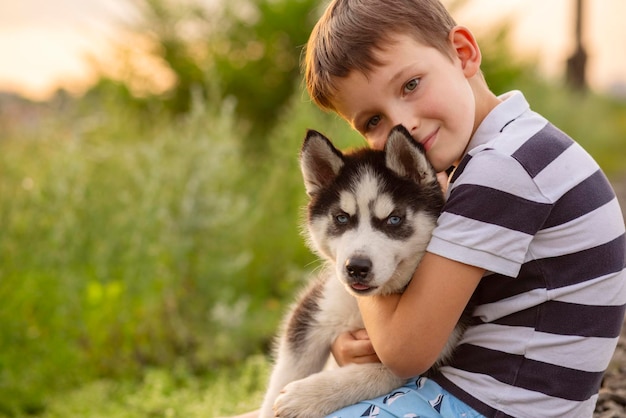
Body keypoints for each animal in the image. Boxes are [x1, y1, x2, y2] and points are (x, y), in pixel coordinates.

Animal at [258, 125, 464, 416]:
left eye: (394, 219)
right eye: (342, 218)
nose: (356, 268)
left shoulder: (425, 346)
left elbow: (369, 375)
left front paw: (304, 396)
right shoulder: (315, 311)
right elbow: (285, 373)